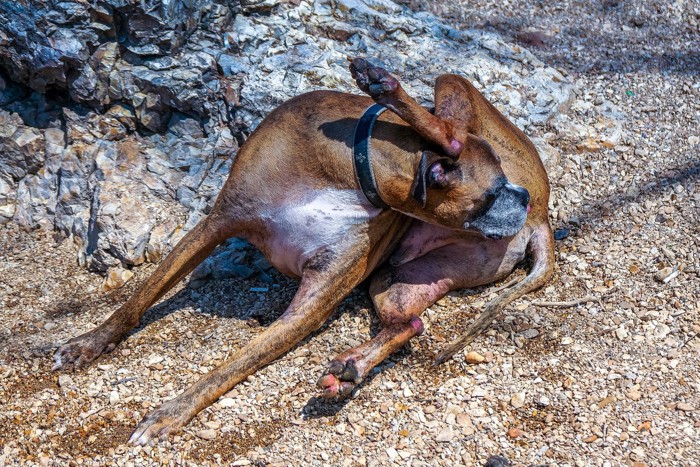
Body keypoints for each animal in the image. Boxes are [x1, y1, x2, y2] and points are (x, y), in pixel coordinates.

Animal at [52, 56, 556, 444]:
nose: (518, 197)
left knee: (450, 129)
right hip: (393, 279)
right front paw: (87, 343)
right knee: (410, 316)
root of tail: (543, 214)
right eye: (491, 192)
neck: (357, 167)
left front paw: (170, 413)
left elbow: (230, 366)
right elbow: (139, 298)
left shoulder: (308, 308)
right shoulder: (215, 225)